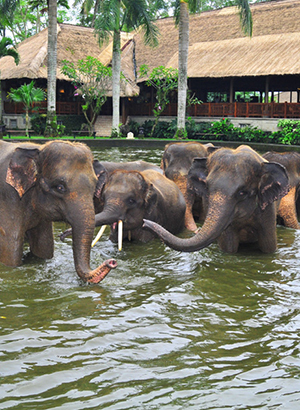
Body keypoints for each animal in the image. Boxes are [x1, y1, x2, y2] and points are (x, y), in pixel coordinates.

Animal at [0, 139, 117, 284]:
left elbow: (44, 246)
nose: (112, 262)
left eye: (94, 187)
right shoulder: (9, 199)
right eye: (60, 187)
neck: (38, 149)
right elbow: (11, 250)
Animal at [144, 144, 290, 253]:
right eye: (207, 188)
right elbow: (229, 247)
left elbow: (269, 245)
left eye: (242, 193)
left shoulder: (268, 210)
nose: (144, 223)